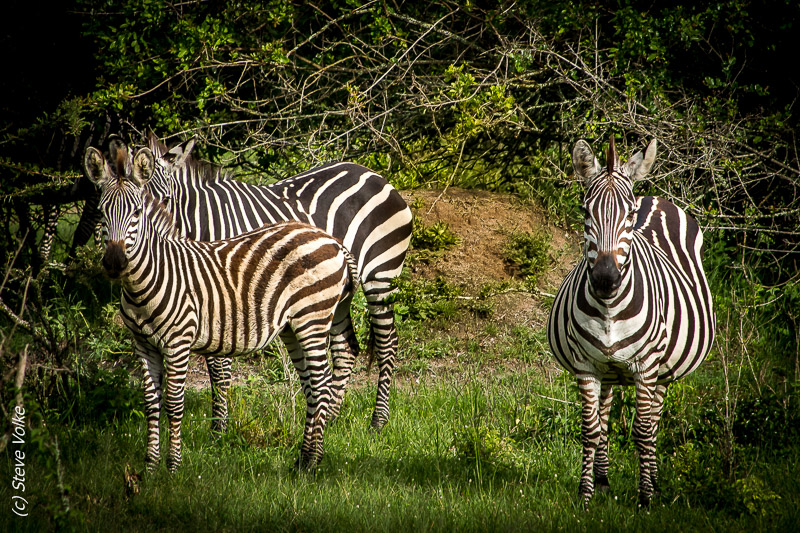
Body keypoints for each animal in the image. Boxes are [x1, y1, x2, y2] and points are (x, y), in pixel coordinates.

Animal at [83, 140, 356, 470]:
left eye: (136, 212)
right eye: (101, 213)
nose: (114, 262)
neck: (147, 282)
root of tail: (331, 239)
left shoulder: (178, 342)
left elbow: (174, 403)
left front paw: (172, 467)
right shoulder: (143, 345)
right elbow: (151, 404)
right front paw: (149, 467)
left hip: (313, 318)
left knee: (321, 382)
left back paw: (313, 462)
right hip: (293, 326)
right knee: (312, 386)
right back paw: (303, 460)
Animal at [138, 132, 410, 432]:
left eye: (166, 198)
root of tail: (372, 174)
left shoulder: (227, 290)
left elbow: (220, 366)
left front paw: (219, 430)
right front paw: (216, 426)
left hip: (381, 274)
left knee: (387, 343)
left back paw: (378, 421)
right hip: (337, 289)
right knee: (346, 349)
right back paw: (331, 417)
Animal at [548, 135, 716, 504]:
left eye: (630, 214)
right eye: (585, 211)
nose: (605, 279)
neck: (610, 308)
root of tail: (653, 197)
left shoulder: (646, 365)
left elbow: (641, 430)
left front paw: (646, 498)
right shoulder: (585, 365)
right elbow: (591, 429)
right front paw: (585, 495)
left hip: (663, 371)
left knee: (652, 421)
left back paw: (654, 482)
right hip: (608, 368)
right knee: (606, 414)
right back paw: (603, 479)